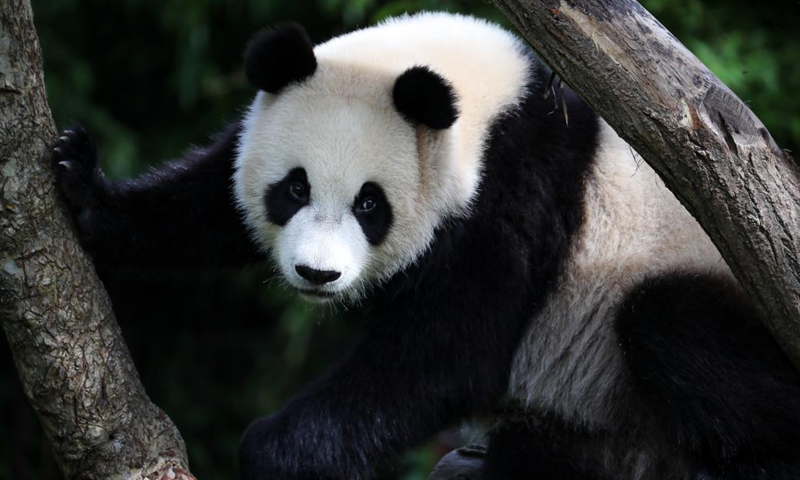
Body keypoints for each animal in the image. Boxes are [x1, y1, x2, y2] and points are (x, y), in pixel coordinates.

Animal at [53, 10, 796, 480]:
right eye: (292, 188)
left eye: (369, 204)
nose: (315, 274)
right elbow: (207, 203)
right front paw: (80, 185)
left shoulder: (509, 192)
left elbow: (447, 351)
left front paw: (270, 450)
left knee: (671, 321)